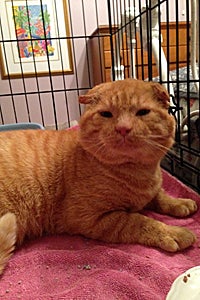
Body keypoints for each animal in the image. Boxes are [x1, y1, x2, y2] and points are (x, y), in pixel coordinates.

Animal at [0, 78, 198, 276]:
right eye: (106, 114)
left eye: (142, 112)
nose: (123, 128)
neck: (140, 172)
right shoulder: (90, 218)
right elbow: (139, 220)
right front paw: (172, 232)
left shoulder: (149, 192)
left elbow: (160, 195)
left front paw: (180, 202)